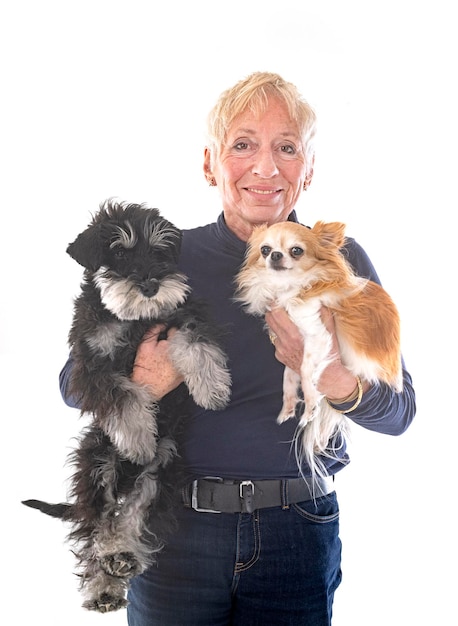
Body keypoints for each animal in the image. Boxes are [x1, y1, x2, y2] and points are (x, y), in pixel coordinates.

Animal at [22, 199, 231, 608]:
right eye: (118, 251)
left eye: (160, 250)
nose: (151, 286)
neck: (133, 319)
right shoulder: (90, 366)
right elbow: (126, 394)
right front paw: (136, 439)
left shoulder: (182, 314)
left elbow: (196, 342)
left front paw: (212, 388)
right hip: (97, 463)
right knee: (97, 528)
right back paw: (104, 584)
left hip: (162, 469)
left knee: (133, 516)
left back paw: (124, 556)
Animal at [234, 219, 402, 478]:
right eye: (264, 249)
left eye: (296, 250)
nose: (275, 255)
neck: (289, 287)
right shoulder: (293, 348)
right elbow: (288, 378)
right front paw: (289, 406)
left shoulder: (316, 336)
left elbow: (305, 373)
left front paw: (310, 403)